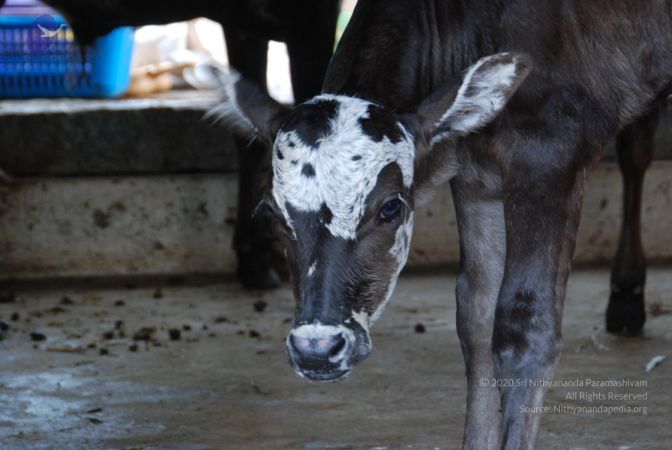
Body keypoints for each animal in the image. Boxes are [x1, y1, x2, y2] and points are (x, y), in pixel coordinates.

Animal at [217, 1, 672, 448]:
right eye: (272, 214)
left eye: (391, 207)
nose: (316, 348)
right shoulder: (475, 177)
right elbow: (477, 320)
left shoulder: (550, 151)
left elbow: (528, 327)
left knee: (636, 149)